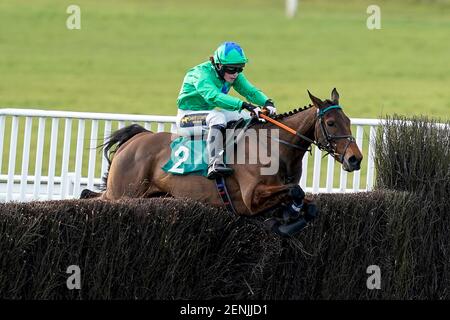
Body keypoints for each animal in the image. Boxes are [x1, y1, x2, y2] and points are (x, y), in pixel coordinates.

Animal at [80, 89, 362, 236]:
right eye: (330, 123)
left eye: (348, 120)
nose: (355, 158)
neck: (274, 146)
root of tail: (137, 138)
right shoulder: (250, 198)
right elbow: (295, 191)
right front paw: (281, 221)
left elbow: (308, 204)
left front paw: (286, 218)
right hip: (122, 192)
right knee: (88, 196)